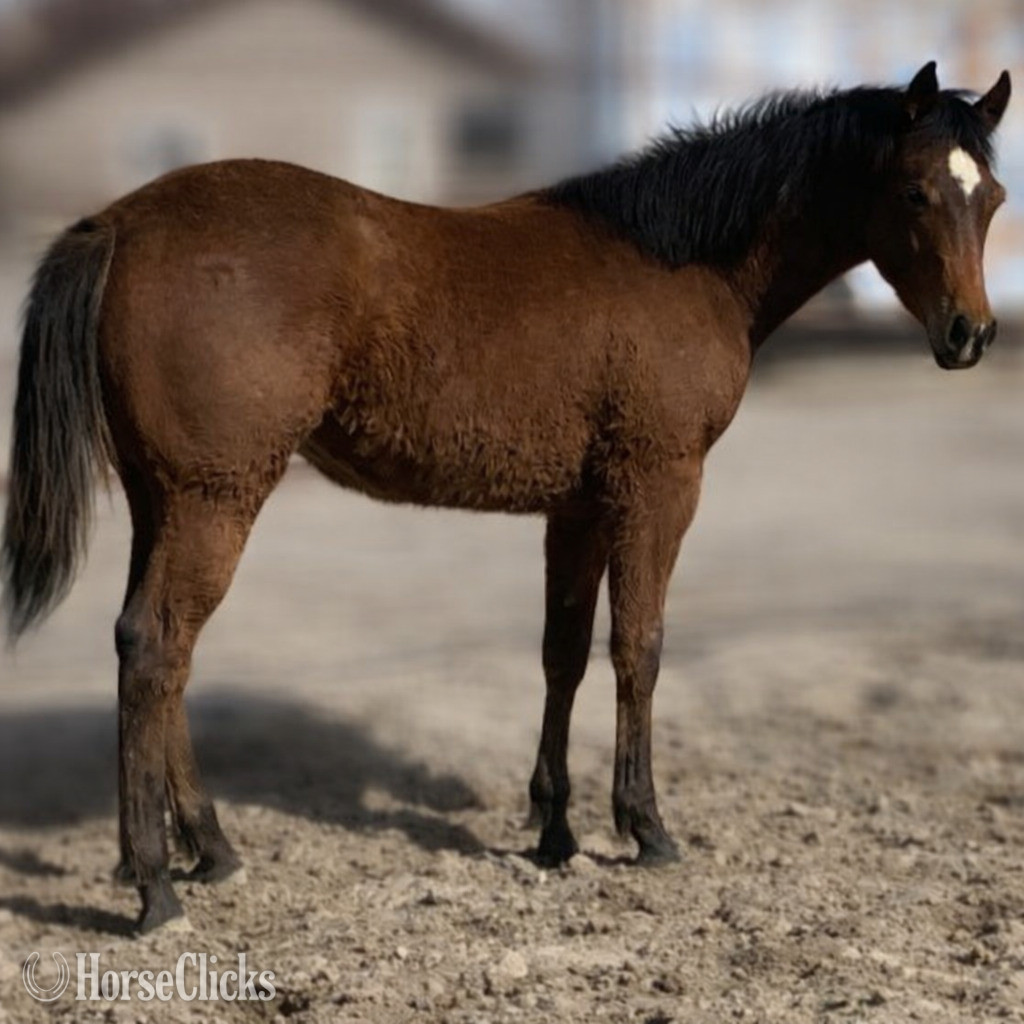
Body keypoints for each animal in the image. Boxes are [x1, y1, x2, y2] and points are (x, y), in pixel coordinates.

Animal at [1, 61, 1010, 933]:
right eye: (916, 192)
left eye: (993, 198)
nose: (972, 334)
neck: (683, 262)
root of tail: (119, 223)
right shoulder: (659, 487)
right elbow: (638, 648)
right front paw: (646, 828)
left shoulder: (580, 507)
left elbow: (562, 654)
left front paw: (555, 830)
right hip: (216, 497)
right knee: (157, 648)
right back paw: (157, 888)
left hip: (163, 498)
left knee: (154, 650)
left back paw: (206, 851)